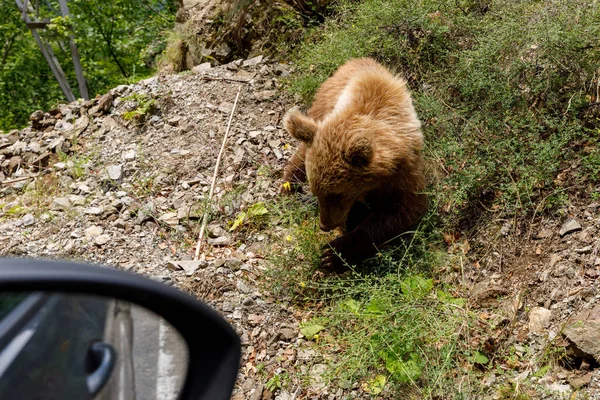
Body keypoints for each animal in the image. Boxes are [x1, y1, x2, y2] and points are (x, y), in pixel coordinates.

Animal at [282, 57, 426, 272]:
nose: (325, 225)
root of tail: (355, 60)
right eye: (318, 194)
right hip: (321, 110)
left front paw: (333, 254)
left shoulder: (404, 169)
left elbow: (402, 208)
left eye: (336, 195)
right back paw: (288, 184)